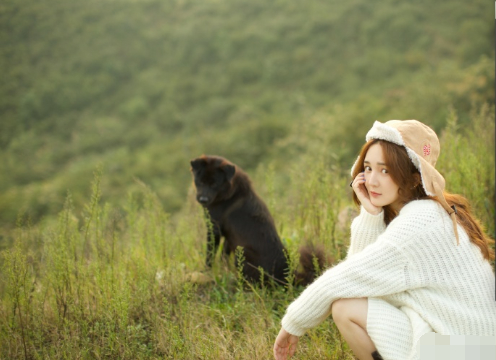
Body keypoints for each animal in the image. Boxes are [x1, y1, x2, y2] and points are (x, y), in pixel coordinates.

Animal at [190, 154, 326, 284]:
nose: (203, 200)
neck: (227, 192)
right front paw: (224, 271)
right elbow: (224, 256)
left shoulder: (214, 230)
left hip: (242, 252)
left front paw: (206, 272)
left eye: (214, 184)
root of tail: (289, 276)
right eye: (200, 182)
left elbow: (210, 255)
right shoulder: (230, 236)